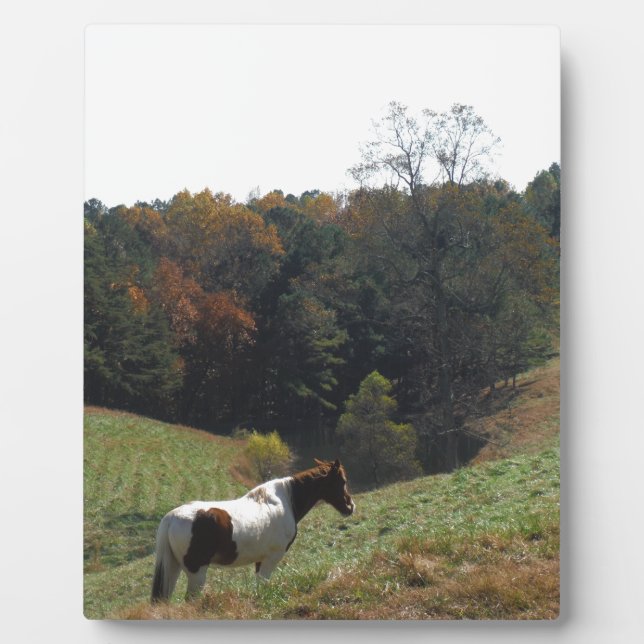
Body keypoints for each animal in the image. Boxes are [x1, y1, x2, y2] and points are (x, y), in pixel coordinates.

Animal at [151, 458, 355, 602]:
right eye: (343, 481)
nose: (350, 506)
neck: (285, 501)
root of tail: (171, 518)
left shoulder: (260, 560)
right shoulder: (271, 558)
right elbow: (263, 586)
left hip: (174, 567)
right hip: (196, 572)